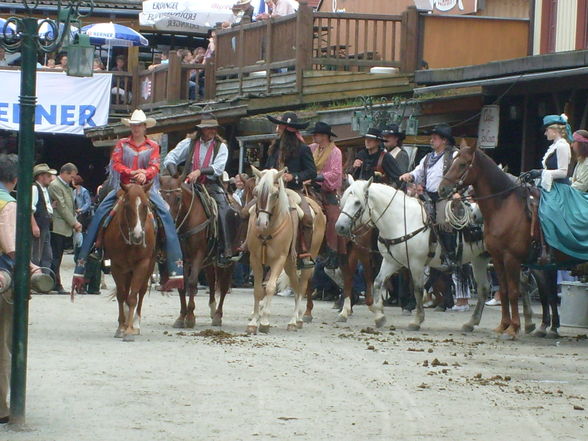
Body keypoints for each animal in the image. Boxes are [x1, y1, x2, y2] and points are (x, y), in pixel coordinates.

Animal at [104, 182, 157, 340]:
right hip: (127, 270)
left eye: (145, 206)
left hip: (149, 266)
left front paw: (128, 330)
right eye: (127, 206)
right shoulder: (116, 266)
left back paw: (136, 324)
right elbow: (122, 295)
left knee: (141, 291)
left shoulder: (142, 264)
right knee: (126, 291)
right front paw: (121, 327)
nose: (138, 236)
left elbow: (133, 296)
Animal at [161, 174, 237, 326]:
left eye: (178, 197)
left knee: (224, 286)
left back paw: (218, 315)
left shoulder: (197, 255)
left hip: (229, 261)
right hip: (209, 261)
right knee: (212, 281)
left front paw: (190, 317)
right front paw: (181, 317)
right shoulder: (183, 259)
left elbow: (191, 282)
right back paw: (213, 309)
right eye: (160, 196)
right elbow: (182, 284)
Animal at [245, 168, 326, 334]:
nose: (261, 223)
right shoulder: (255, 259)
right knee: (295, 285)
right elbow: (258, 290)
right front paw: (254, 322)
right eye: (256, 192)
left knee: (302, 287)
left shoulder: (279, 259)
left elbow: (270, 287)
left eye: (275, 194)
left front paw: (264, 322)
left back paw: (296, 320)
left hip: (306, 261)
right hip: (289, 264)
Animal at [336, 175, 532, 334]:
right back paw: (476, 323)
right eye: (343, 200)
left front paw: (416, 320)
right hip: (481, 258)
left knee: (519, 283)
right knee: (487, 287)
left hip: (508, 258)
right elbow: (377, 282)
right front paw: (379, 316)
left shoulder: (415, 264)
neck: (400, 220)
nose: (340, 227)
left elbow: (417, 289)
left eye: (357, 202)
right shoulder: (392, 261)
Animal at [440, 143, 560, 338]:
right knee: (546, 289)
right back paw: (547, 326)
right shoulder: (497, 257)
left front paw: (513, 328)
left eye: (463, 164)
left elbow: (513, 291)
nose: (442, 189)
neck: (504, 206)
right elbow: (503, 290)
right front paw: (504, 325)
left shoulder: (511, 258)